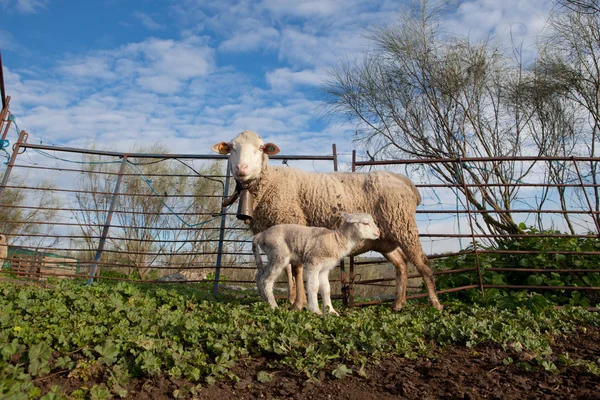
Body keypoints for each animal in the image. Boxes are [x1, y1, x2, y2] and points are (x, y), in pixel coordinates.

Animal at [213, 130, 442, 310]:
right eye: (232, 148)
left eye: (260, 148)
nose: (241, 168)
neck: (270, 182)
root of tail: (406, 182)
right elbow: (287, 270)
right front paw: (291, 299)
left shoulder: (294, 222)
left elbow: (296, 268)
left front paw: (299, 304)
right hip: (383, 239)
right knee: (401, 264)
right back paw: (398, 304)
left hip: (404, 226)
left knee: (422, 263)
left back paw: (435, 304)